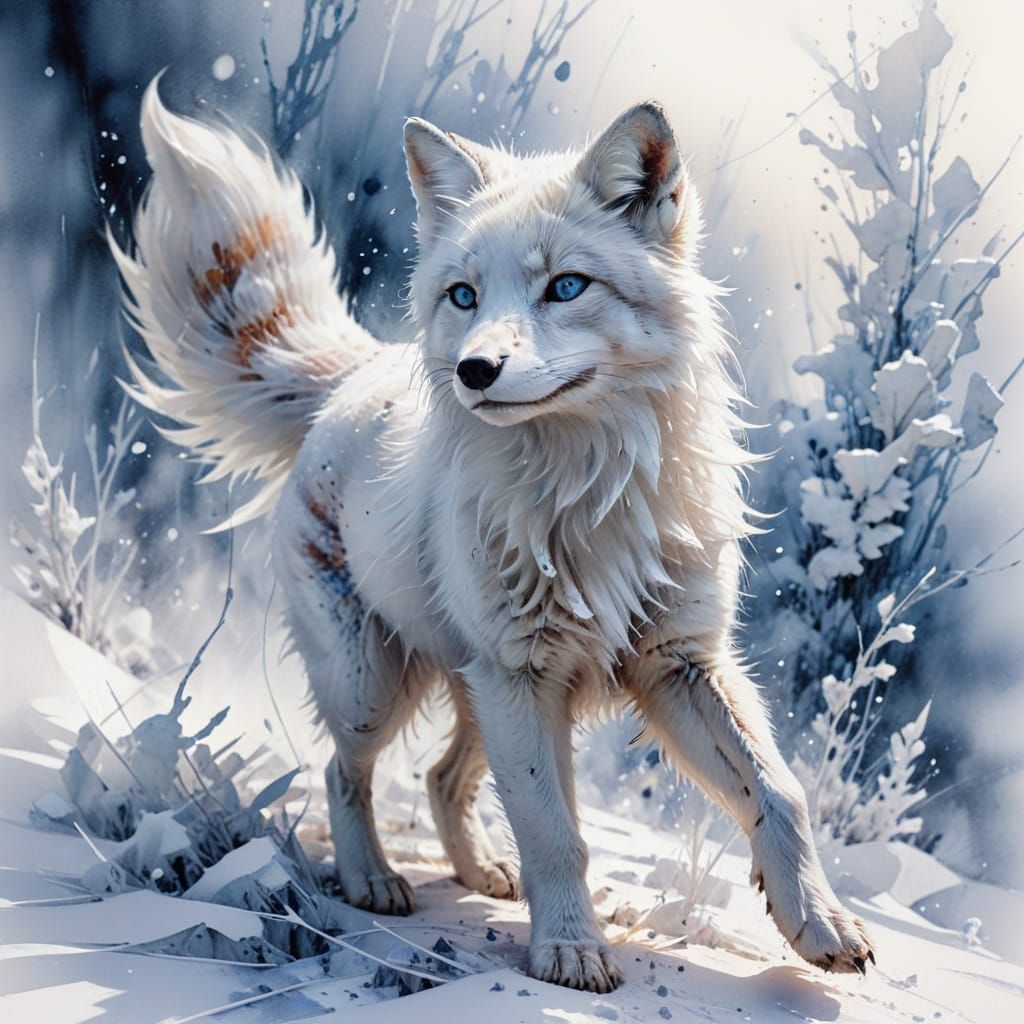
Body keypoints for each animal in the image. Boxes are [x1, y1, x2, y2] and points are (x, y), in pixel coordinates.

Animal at [111, 79, 874, 993]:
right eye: (464, 296)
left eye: (567, 287)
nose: (476, 370)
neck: (585, 495)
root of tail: (354, 372)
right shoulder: (523, 676)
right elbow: (557, 834)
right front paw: (572, 951)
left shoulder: (676, 665)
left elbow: (779, 792)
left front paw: (821, 925)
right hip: (378, 688)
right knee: (344, 770)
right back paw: (373, 880)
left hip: (483, 696)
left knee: (444, 778)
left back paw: (481, 873)